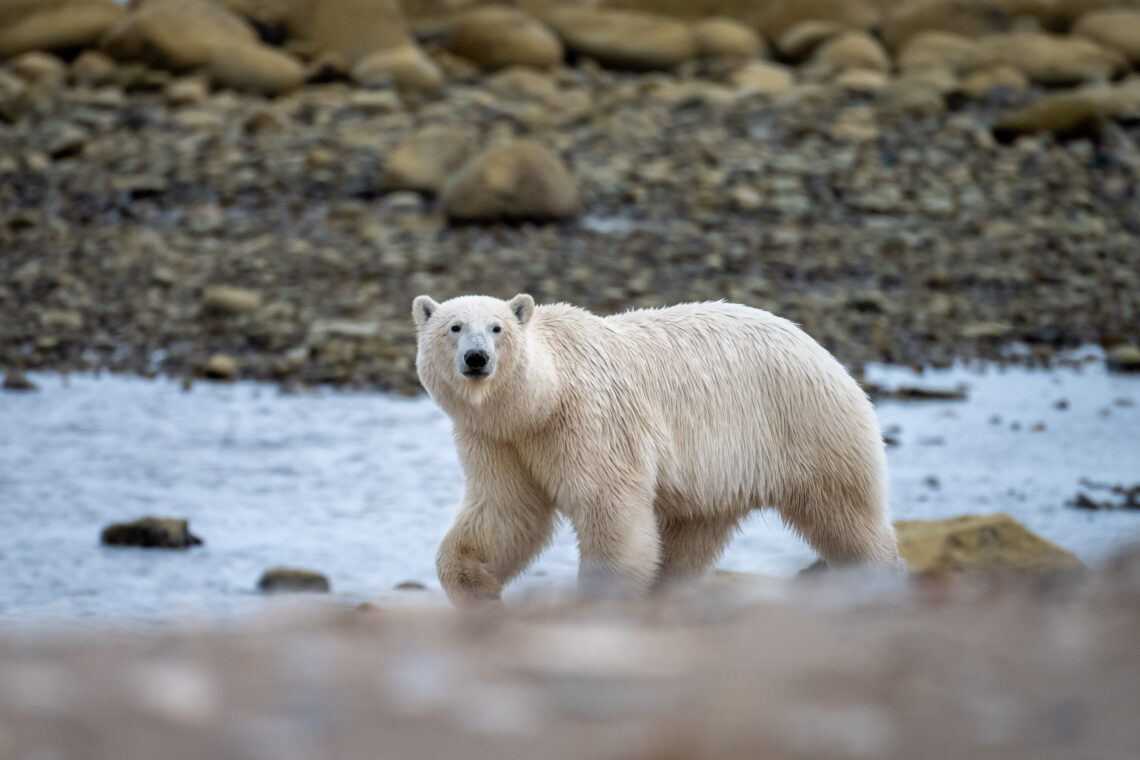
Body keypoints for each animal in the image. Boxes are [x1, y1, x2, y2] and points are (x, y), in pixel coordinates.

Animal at [412, 293, 898, 601]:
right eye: (454, 327)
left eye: (497, 328)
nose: (477, 358)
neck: (540, 401)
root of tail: (819, 349)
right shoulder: (499, 441)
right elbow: (507, 512)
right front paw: (477, 587)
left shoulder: (589, 423)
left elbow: (610, 508)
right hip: (717, 480)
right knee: (689, 540)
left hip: (805, 427)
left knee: (848, 516)